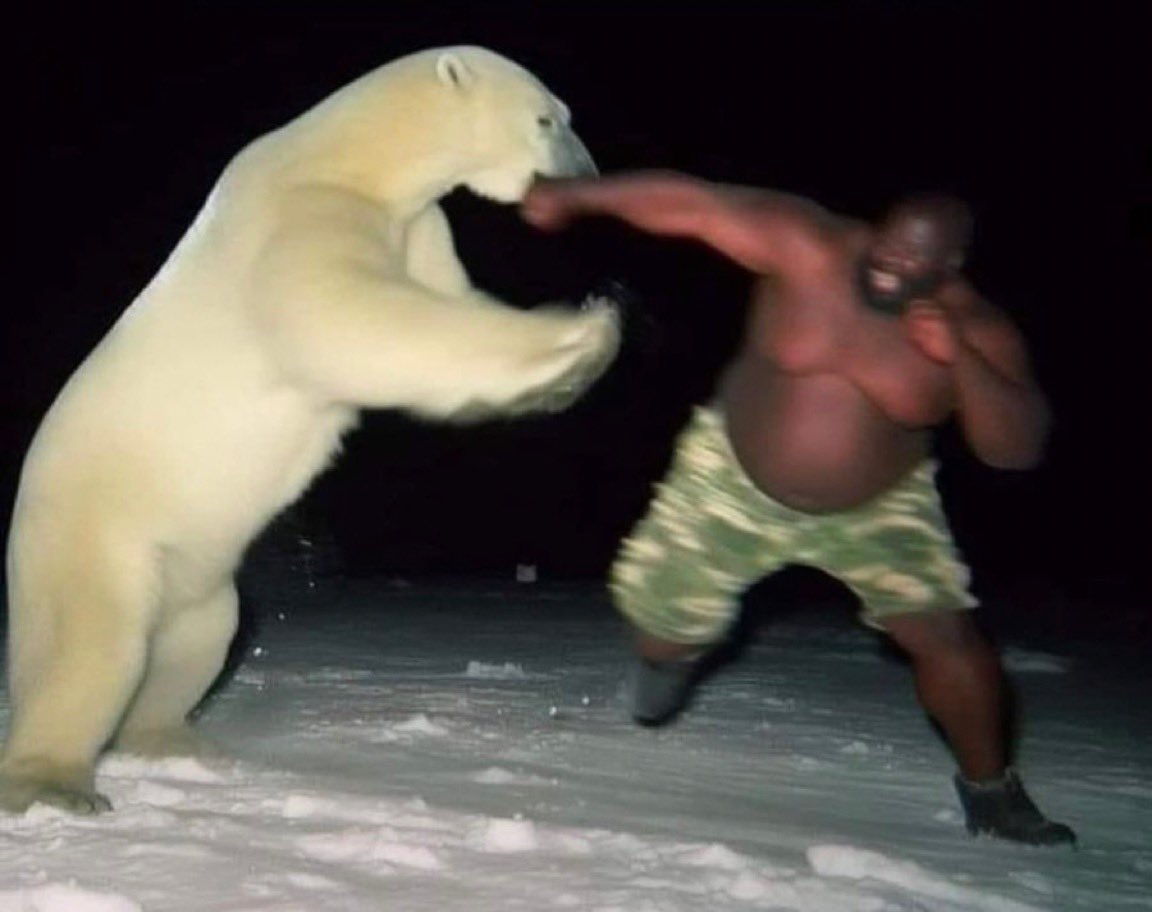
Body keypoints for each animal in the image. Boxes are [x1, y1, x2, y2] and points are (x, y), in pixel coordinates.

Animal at [0, 45, 620, 814]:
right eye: (546, 118)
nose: (587, 177)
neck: (350, 159)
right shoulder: (297, 222)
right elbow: (361, 322)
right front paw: (579, 335)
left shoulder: (417, 227)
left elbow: (444, 301)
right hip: (95, 537)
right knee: (89, 649)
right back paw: (54, 783)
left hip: (193, 577)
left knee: (197, 642)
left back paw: (172, 739)